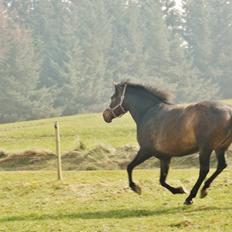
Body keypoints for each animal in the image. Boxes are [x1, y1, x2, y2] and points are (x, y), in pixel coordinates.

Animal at [102, 82, 231, 205]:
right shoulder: (165, 157)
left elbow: (129, 167)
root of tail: (229, 111)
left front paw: (136, 188)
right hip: (220, 147)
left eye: (112, 97)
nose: (105, 115)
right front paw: (179, 189)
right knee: (221, 165)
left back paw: (190, 198)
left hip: (206, 149)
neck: (148, 112)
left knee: (204, 170)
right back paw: (204, 189)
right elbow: (162, 180)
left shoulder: (146, 150)